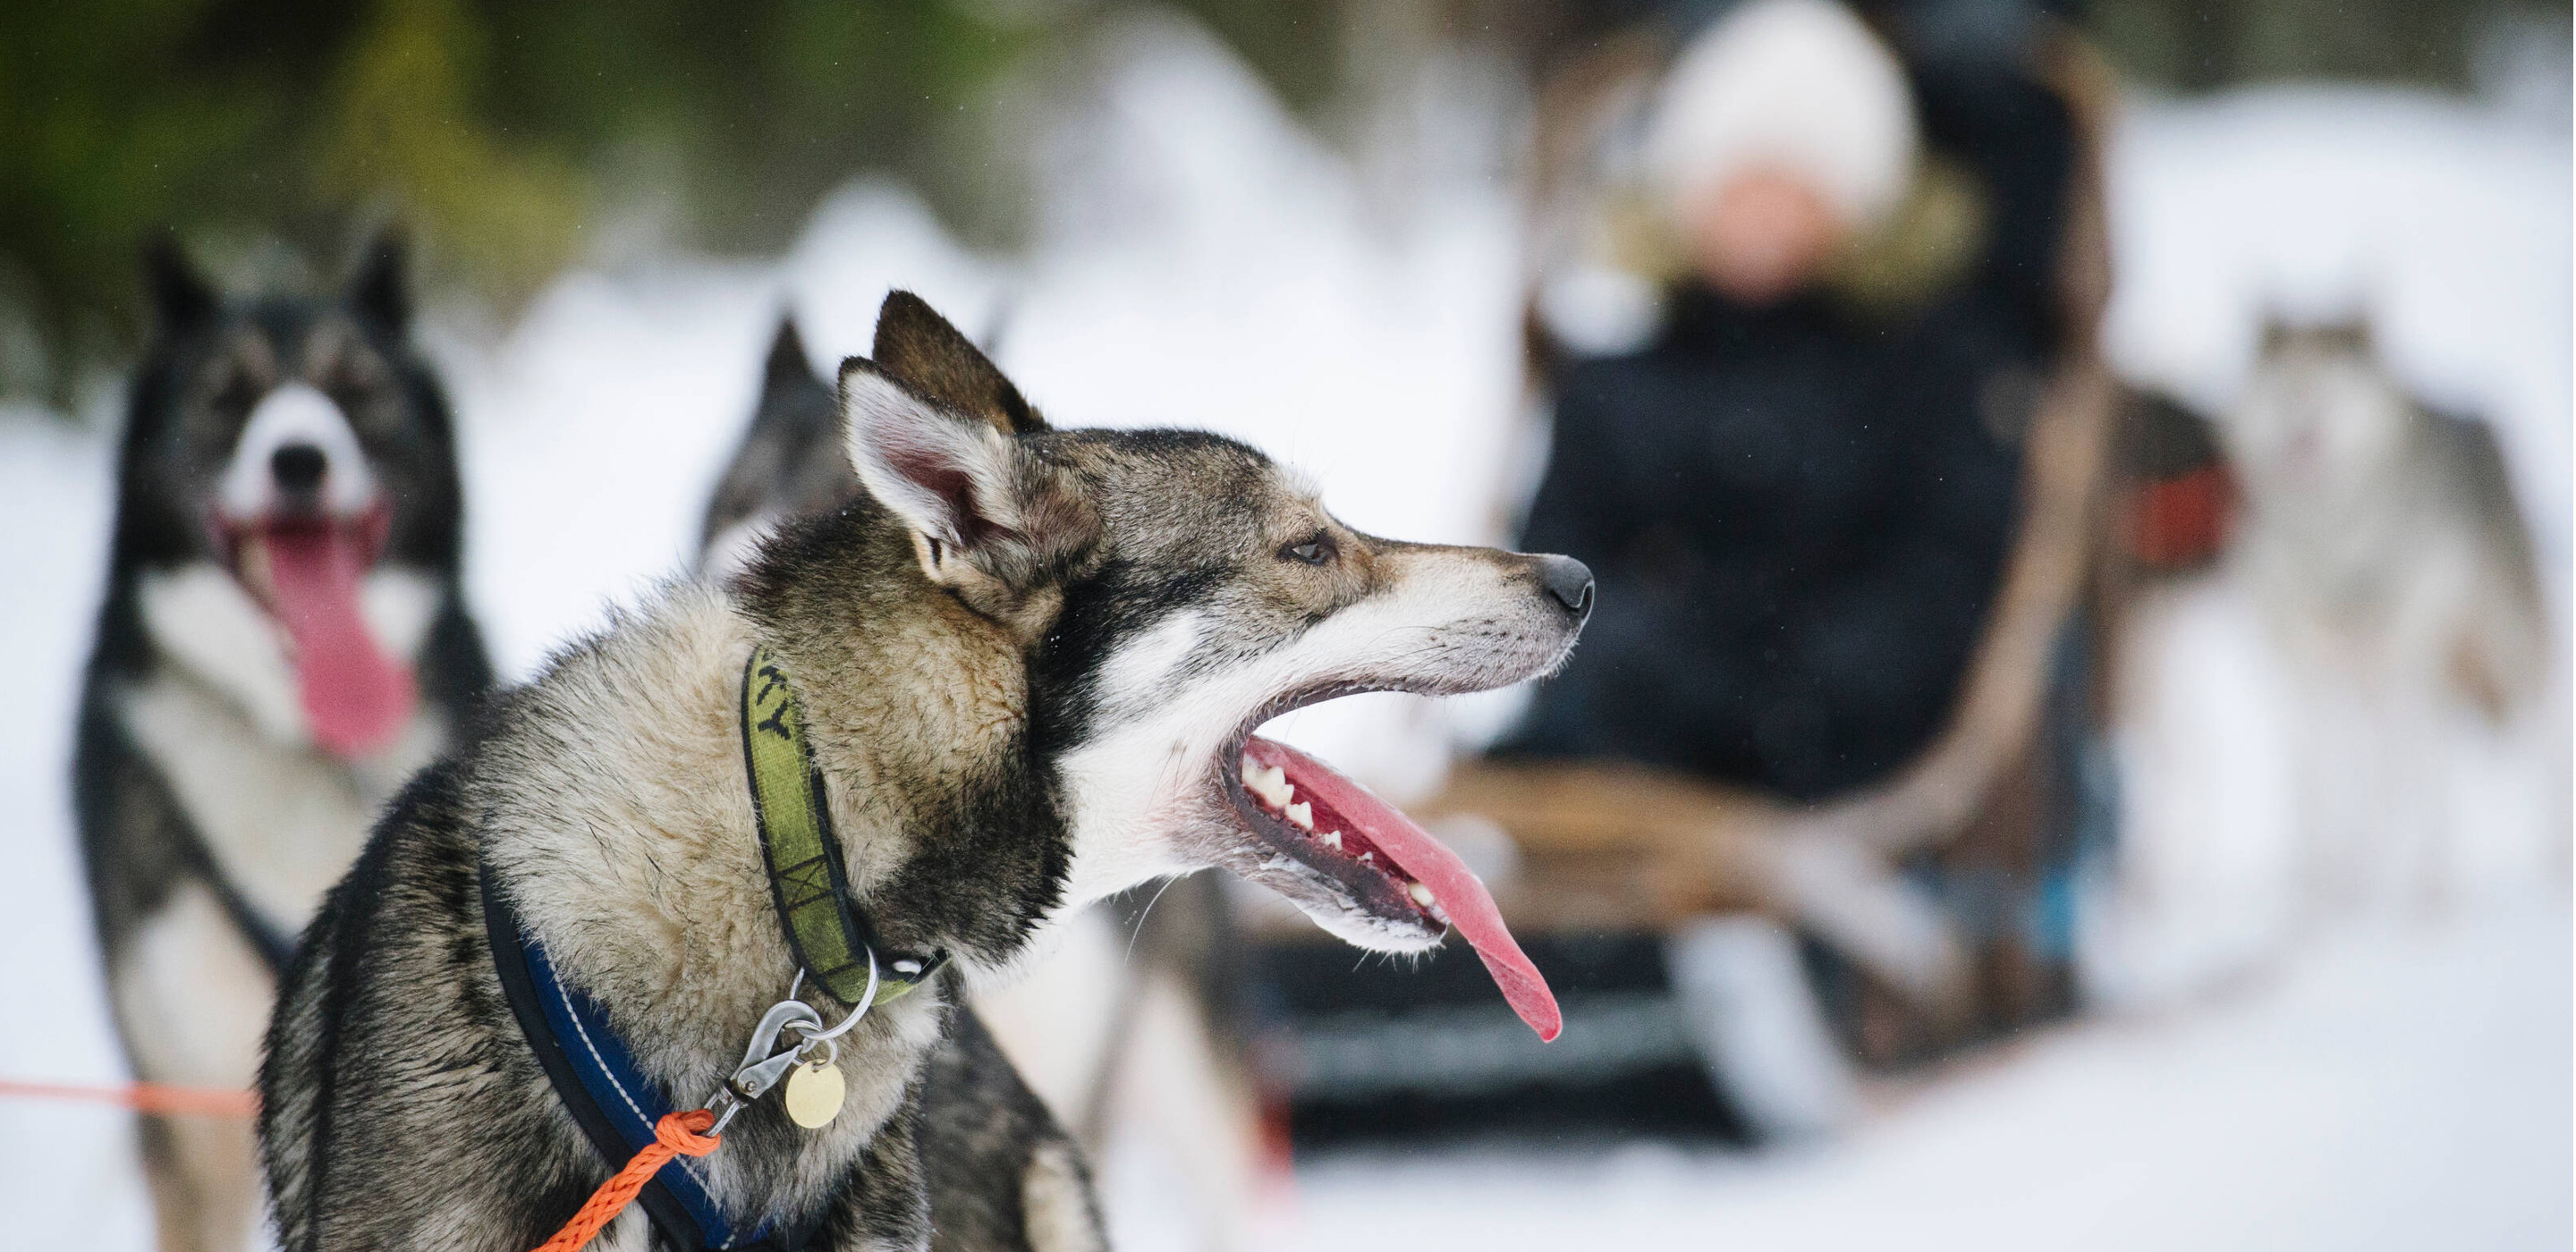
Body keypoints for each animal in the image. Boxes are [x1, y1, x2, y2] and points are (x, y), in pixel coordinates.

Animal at [2225, 315, 2545, 901]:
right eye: (2284, 377)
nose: (2299, 397)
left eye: (2329, 372)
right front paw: (2319, 893)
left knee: (2535, 743)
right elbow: (2324, 794)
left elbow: (2388, 789)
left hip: (2503, 648)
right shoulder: (2310, 677)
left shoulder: (2400, 666)